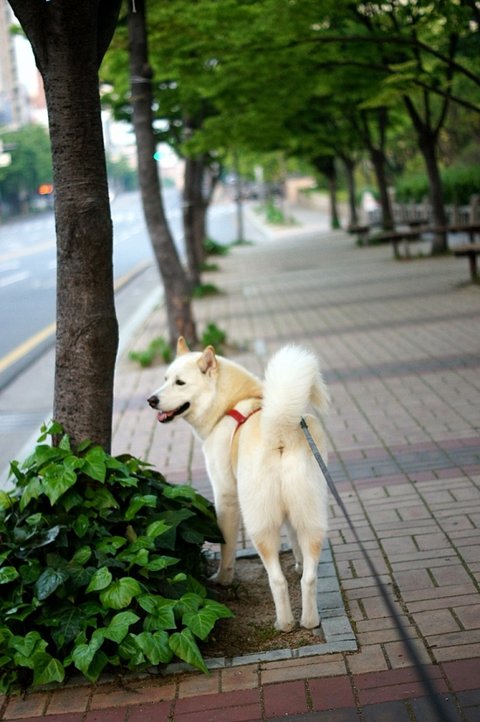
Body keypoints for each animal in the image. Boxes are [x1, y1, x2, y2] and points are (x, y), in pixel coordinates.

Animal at [147, 337, 329, 631]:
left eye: (180, 383)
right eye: (165, 379)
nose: (151, 400)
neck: (230, 405)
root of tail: (280, 431)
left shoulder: (225, 496)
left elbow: (227, 546)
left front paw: (222, 579)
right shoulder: (292, 517)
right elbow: (295, 545)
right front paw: (299, 564)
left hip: (259, 525)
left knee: (276, 579)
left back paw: (284, 623)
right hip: (310, 517)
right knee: (310, 576)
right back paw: (310, 621)